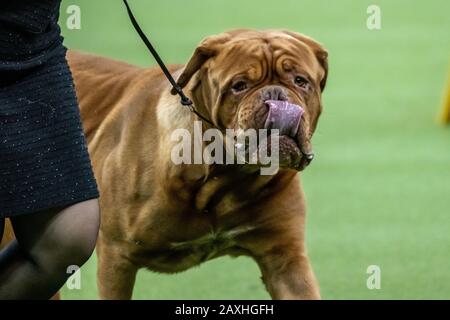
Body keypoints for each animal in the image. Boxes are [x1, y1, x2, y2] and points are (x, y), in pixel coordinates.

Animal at [66, 28, 326, 298]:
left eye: (300, 81)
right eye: (239, 86)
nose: (275, 95)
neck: (227, 178)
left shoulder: (285, 258)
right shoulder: (117, 257)